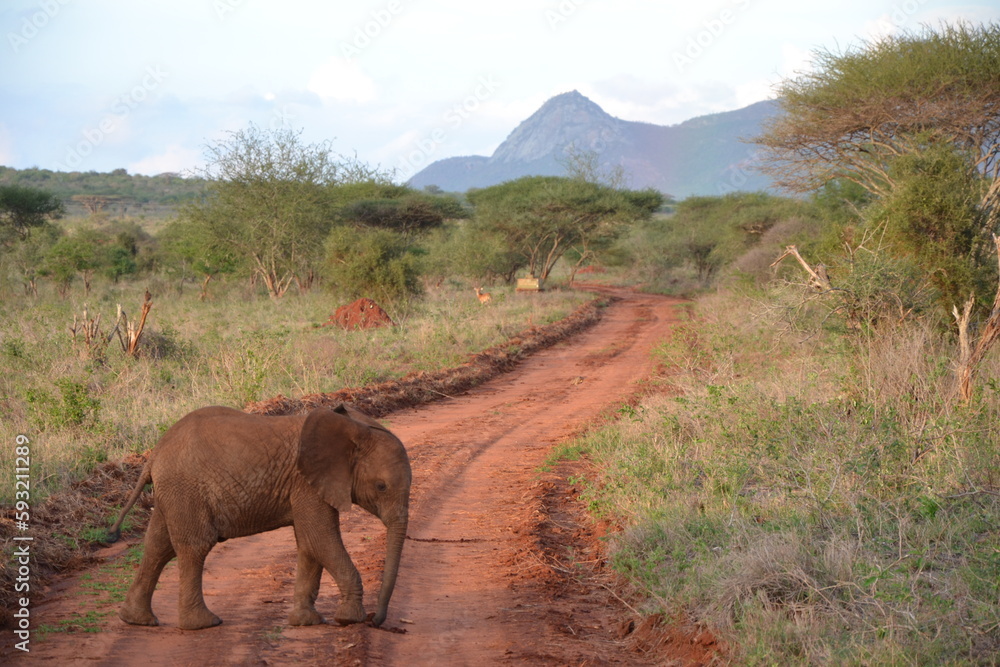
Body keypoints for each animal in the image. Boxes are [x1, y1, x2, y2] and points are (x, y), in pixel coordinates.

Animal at [105, 403, 411, 630]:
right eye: (381, 487)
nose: (375, 621)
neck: (351, 428)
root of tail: (154, 454)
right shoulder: (306, 483)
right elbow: (320, 539)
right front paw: (349, 619)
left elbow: (309, 544)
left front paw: (306, 622)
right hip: (185, 488)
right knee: (195, 545)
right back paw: (204, 624)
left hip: (172, 492)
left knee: (158, 545)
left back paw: (137, 620)